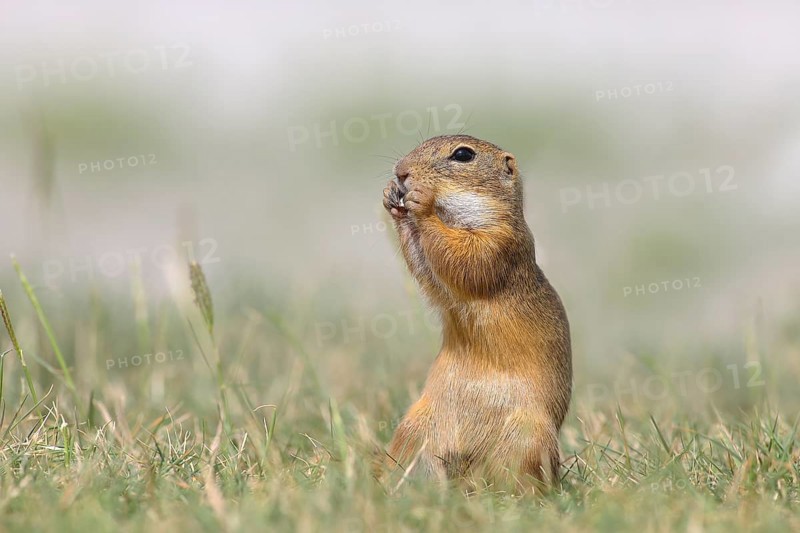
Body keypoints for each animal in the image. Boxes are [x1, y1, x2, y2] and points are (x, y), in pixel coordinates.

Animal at [379, 135, 572, 491]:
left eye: (463, 155)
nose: (401, 171)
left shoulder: (499, 243)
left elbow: (465, 260)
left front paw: (421, 202)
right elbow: (429, 272)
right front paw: (392, 199)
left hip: (529, 440)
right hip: (414, 428)